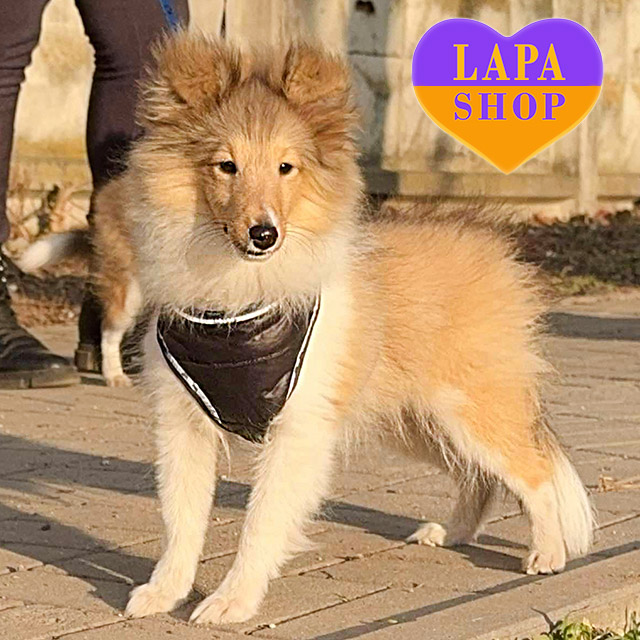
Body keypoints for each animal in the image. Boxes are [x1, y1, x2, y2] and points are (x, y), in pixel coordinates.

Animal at [27, 31, 596, 624]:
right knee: (478, 477)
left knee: (533, 473)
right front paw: (165, 593)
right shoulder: (183, 423)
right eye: (226, 165)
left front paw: (231, 601)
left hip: (472, 408)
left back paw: (548, 553)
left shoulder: (297, 431)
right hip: (413, 420)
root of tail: (496, 248)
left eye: (286, 167)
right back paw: (452, 532)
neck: (238, 296)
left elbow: (260, 523)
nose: (263, 234)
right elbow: (180, 520)